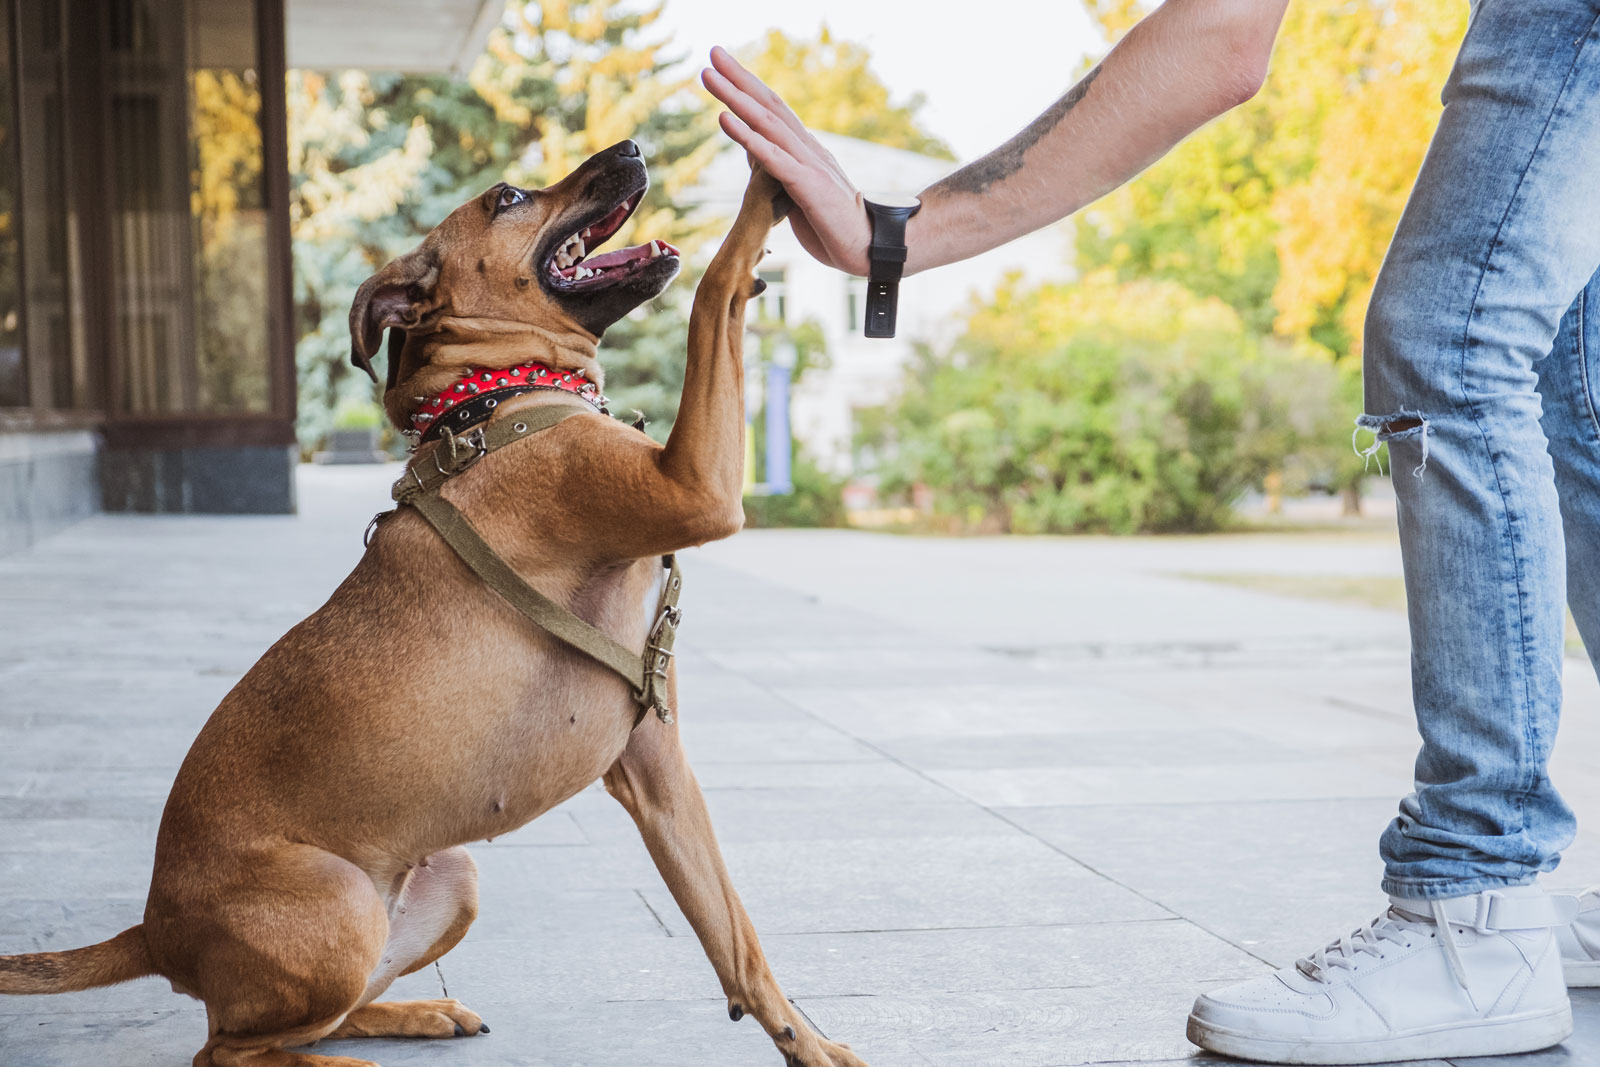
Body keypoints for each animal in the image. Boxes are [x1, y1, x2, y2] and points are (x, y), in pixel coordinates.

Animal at [0, 141, 870, 1067]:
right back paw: (341, 1061)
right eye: (509, 196)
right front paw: (769, 180)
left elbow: (735, 935)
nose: (631, 149)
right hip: (340, 907)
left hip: (452, 878)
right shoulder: (696, 488)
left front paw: (808, 1044)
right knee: (227, 1048)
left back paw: (418, 1013)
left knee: (309, 1016)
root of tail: (155, 930)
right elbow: (714, 286)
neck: (497, 396)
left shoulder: (657, 770)